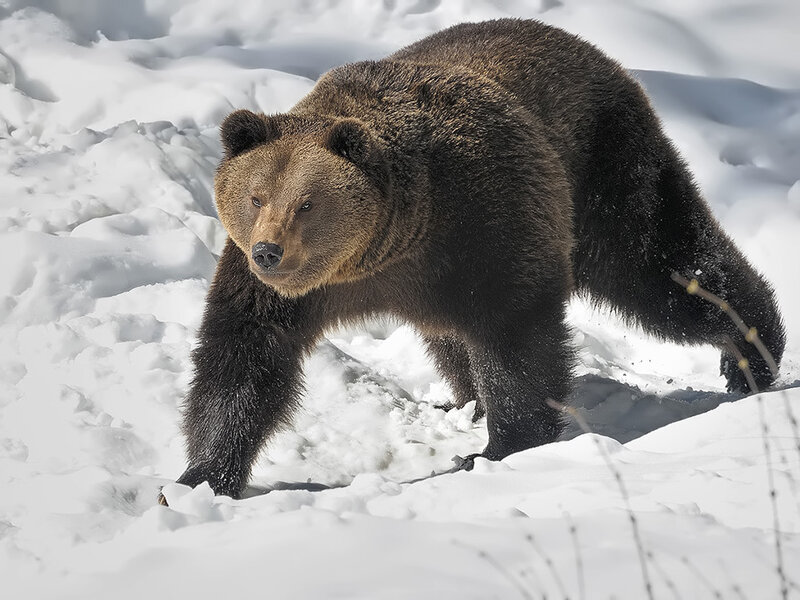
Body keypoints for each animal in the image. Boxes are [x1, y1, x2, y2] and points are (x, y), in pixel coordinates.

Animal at [165, 18, 785, 501]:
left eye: (306, 203)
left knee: (660, 266)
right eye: (255, 197)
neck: (384, 250)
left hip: (603, 171)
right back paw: (464, 401)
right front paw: (199, 478)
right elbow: (243, 354)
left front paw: (503, 445)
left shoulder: (483, 221)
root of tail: (588, 47)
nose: (269, 251)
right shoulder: (279, 288)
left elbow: (514, 332)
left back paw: (752, 355)